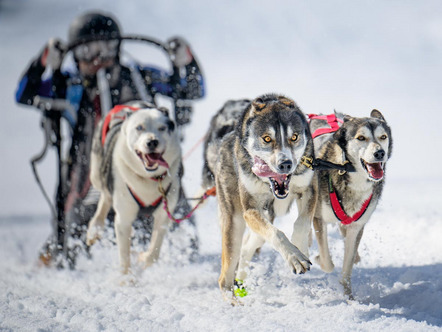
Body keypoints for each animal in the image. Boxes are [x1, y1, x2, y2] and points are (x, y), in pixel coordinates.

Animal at [86, 101, 183, 274]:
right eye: (139, 128)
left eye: (162, 128)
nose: (152, 142)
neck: (149, 179)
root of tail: (130, 104)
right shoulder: (123, 219)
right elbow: (124, 255)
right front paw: (126, 277)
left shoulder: (164, 216)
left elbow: (153, 252)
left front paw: (143, 258)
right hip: (96, 173)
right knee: (105, 195)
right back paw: (94, 229)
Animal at [205, 94, 316, 302]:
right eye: (267, 139)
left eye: (294, 137)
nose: (286, 164)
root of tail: (224, 140)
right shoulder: (250, 210)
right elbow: (278, 234)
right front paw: (294, 257)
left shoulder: (309, 190)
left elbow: (302, 223)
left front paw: (300, 246)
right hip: (235, 222)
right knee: (224, 278)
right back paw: (235, 302)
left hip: (263, 221)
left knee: (248, 247)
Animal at [310, 110, 392, 300]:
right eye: (361, 138)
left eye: (383, 137)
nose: (380, 153)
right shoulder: (319, 218)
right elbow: (327, 263)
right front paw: (318, 259)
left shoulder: (356, 226)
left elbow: (347, 268)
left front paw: (349, 297)